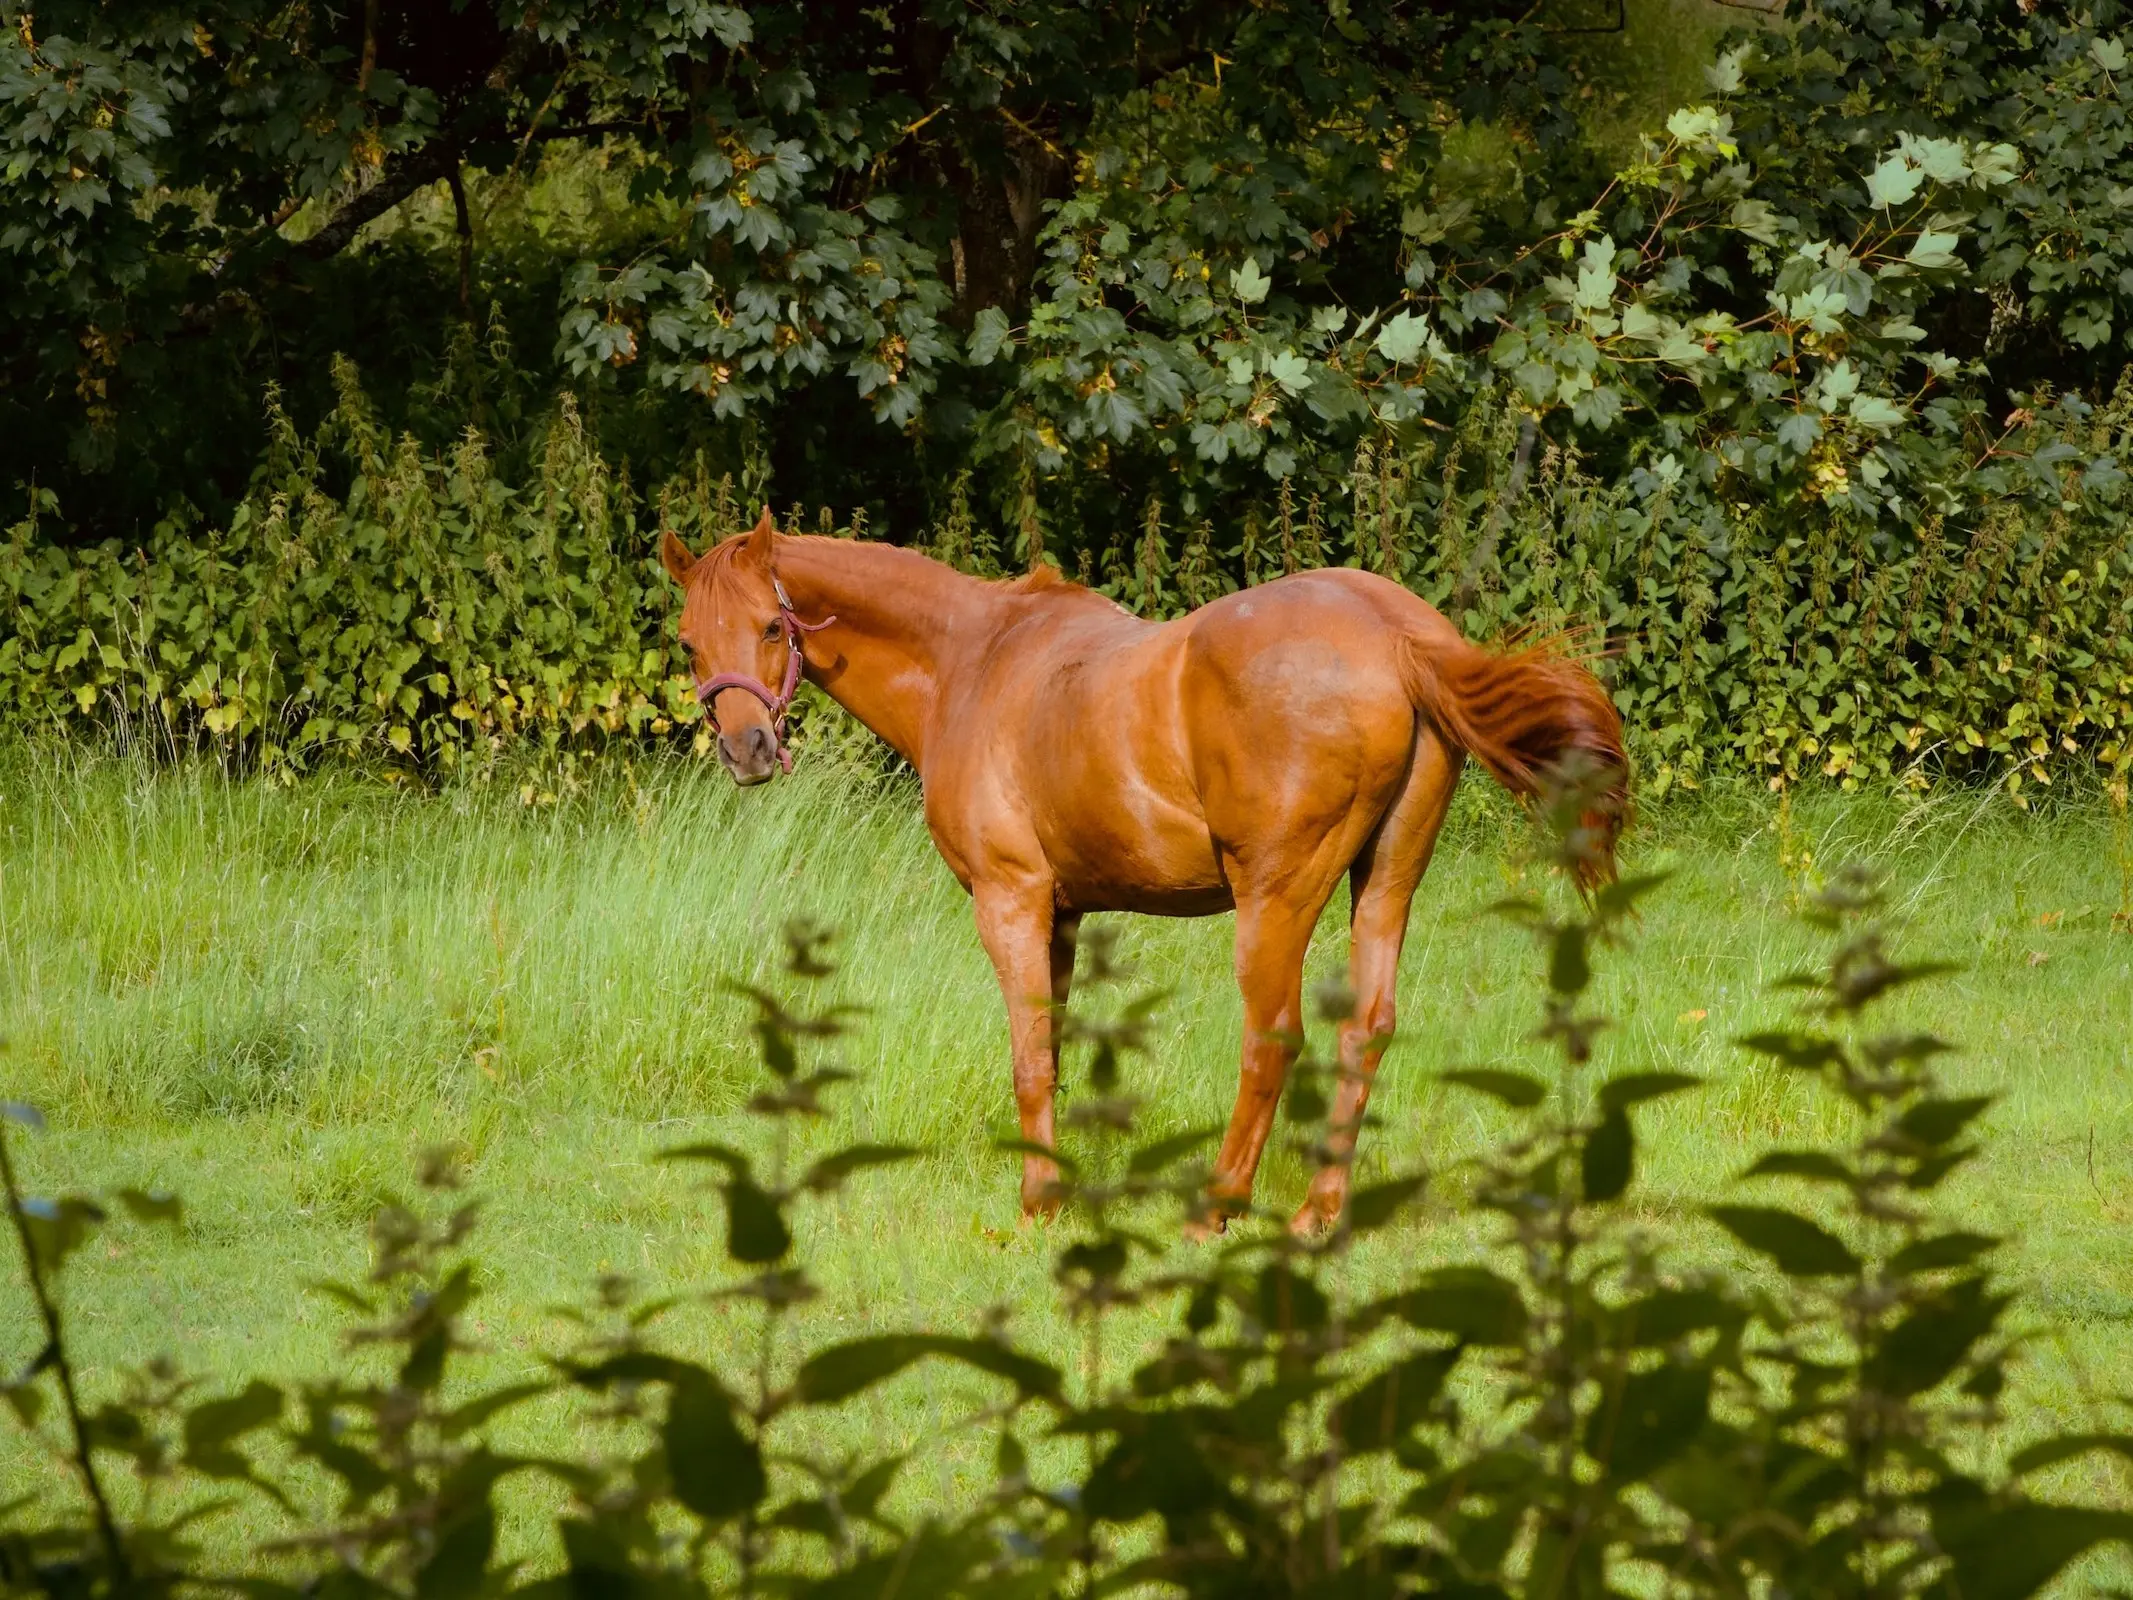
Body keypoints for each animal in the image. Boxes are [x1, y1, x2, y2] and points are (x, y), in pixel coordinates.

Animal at [656, 514, 1621, 1237]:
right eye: (690, 641)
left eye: (773, 626)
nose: (746, 751)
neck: (973, 659)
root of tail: (1392, 630)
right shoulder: (1064, 914)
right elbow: (1054, 1049)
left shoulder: (1010, 900)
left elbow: (1028, 1058)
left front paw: (1038, 1205)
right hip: (1383, 884)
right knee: (1366, 1030)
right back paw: (1318, 1213)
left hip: (1277, 898)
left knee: (1273, 1038)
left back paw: (1219, 1206)